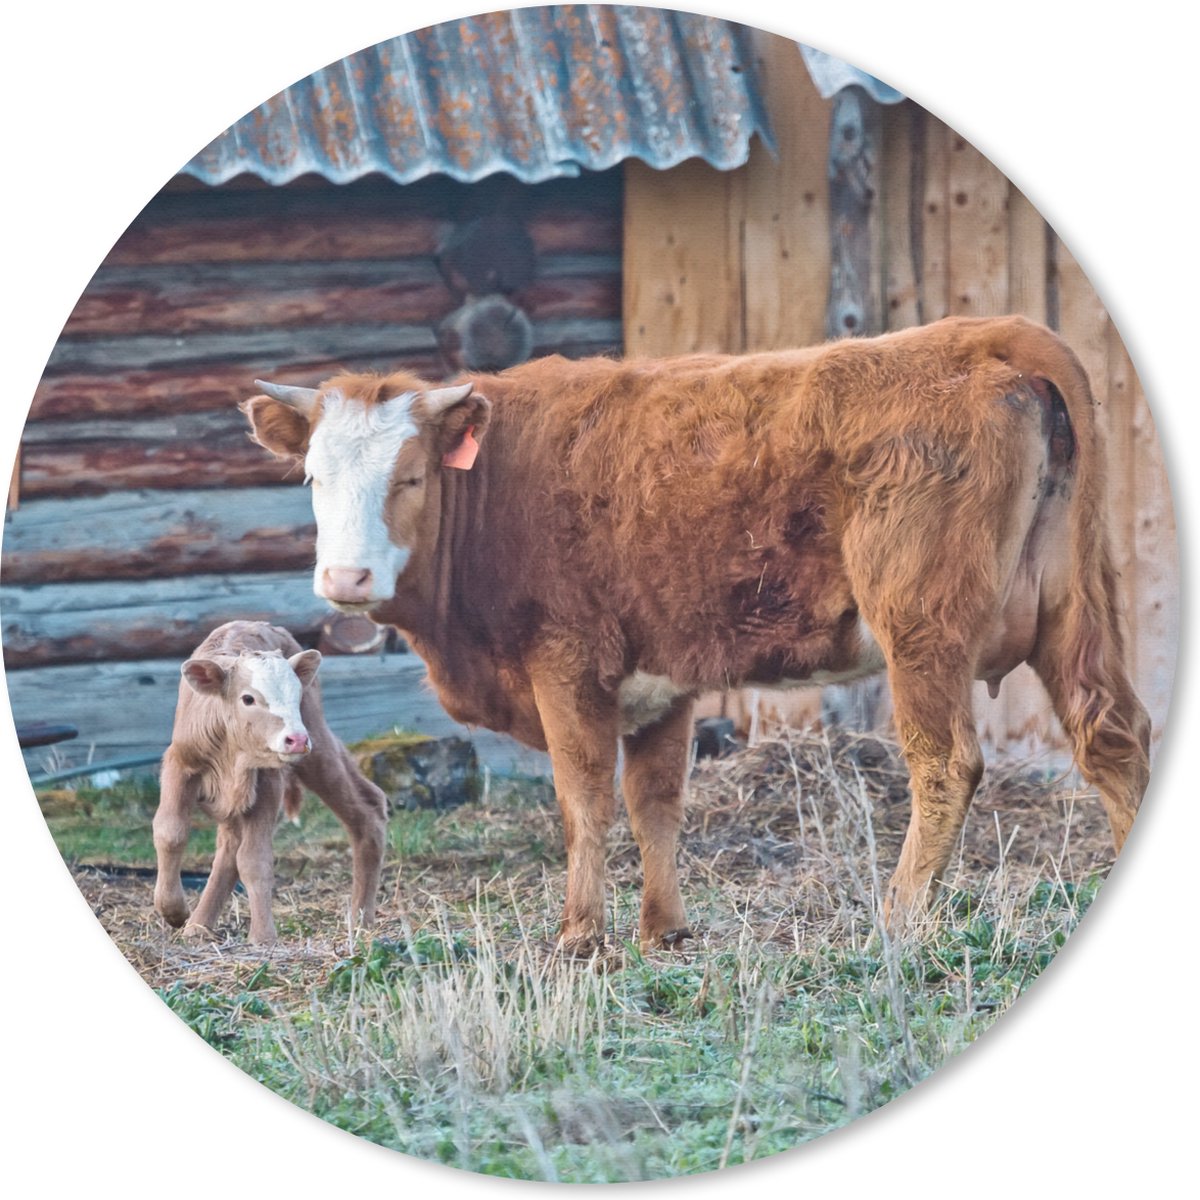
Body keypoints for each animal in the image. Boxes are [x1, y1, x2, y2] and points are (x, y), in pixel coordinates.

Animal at [152, 621, 388, 945]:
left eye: (295, 695)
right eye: (248, 698)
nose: (297, 739)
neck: (231, 753)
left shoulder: (268, 783)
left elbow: (255, 859)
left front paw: (263, 937)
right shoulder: (180, 762)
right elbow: (170, 831)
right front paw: (173, 910)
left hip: (316, 745)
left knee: (367, 809)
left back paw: (361, 919)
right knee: (228, 847)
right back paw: (198, 926)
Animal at [241, 315, 1151, 954]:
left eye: (410, 476)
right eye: (313, 478)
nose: (345, 581)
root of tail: (992, 333)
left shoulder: (567, 664)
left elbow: (584, 801)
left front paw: (581, 935)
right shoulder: (661, 681)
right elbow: (657, 802)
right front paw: (663, 929)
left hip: (921, 625)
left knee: (946, 762)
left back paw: (897, 916)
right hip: (1078, 608)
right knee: (1112, 737)